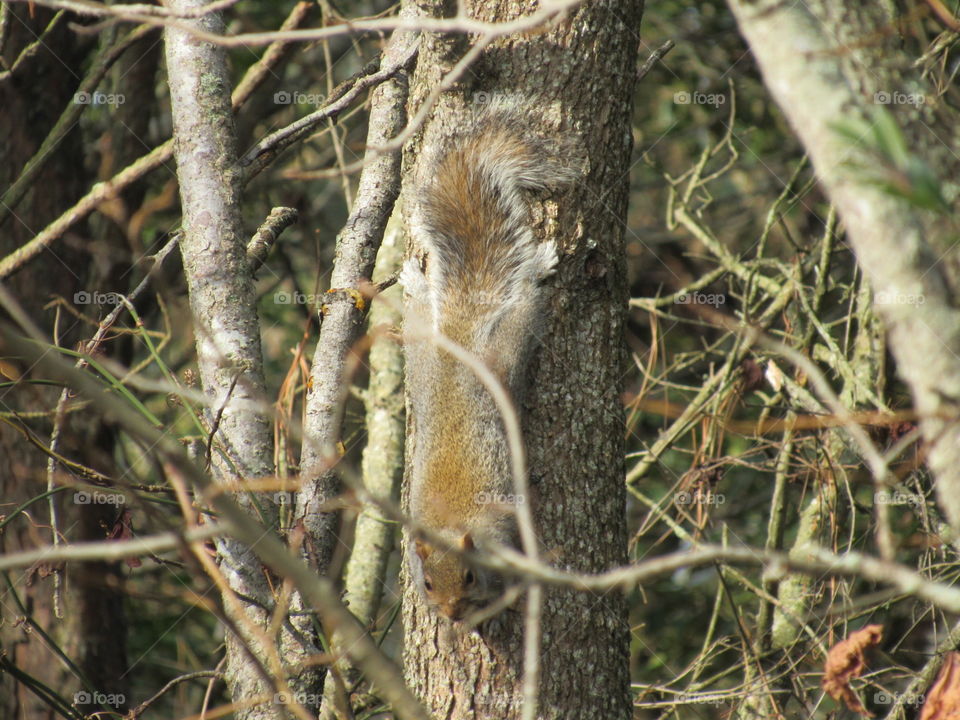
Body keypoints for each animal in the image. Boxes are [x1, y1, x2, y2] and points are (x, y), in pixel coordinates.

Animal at [401, 114, 575, 621]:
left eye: (470, 576)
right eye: (427, 584)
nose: (453, 614)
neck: (452, 526)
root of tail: (459, 343)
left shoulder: (500, 533)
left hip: (506, 352)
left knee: (525, 305)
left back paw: (538, 267)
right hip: (419, 355)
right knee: (418, 317)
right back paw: (416, 282)